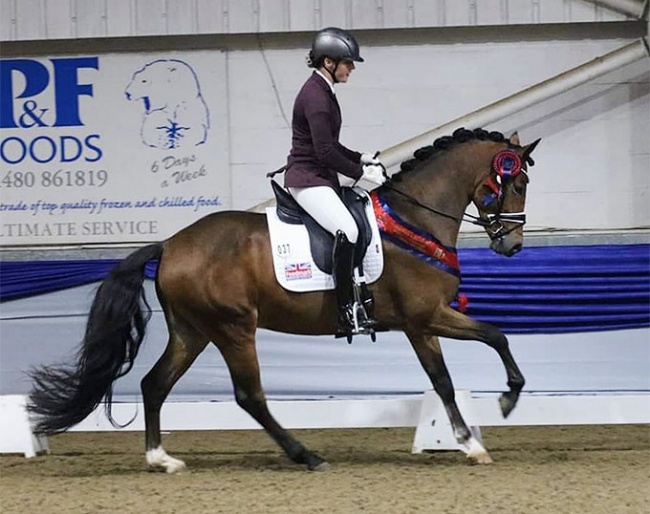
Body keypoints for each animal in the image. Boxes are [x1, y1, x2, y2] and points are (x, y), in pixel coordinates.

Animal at [27, 126, 540, 470]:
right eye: (515, 182)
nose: (512, 246)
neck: (414, 220)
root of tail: (170, 244)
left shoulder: (428, 321)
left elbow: (479, 351)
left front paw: (493, 415)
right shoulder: (424, 319)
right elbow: (463, 364)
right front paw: (485, 427)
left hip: (192, 331)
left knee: (155, 384)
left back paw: (161, 460)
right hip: (234, 328)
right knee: (249, 395)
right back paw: (305, 455)